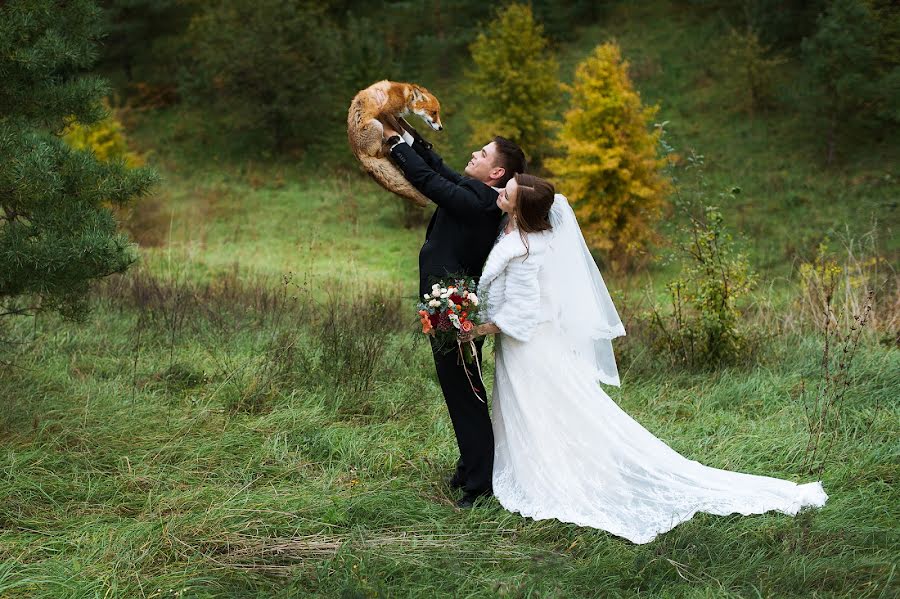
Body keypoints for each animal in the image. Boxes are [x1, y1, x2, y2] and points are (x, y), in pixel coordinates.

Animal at [344, 81, 442, 209]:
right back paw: (392, 141)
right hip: (377, 125)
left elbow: (413, 131)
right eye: (434, 112)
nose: (441, 128)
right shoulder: (386, 112)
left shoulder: (398, 116)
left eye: (437, 112)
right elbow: (401, 130)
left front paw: (424, 143)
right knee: (378, 154)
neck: (405, 97)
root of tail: (356, 151)